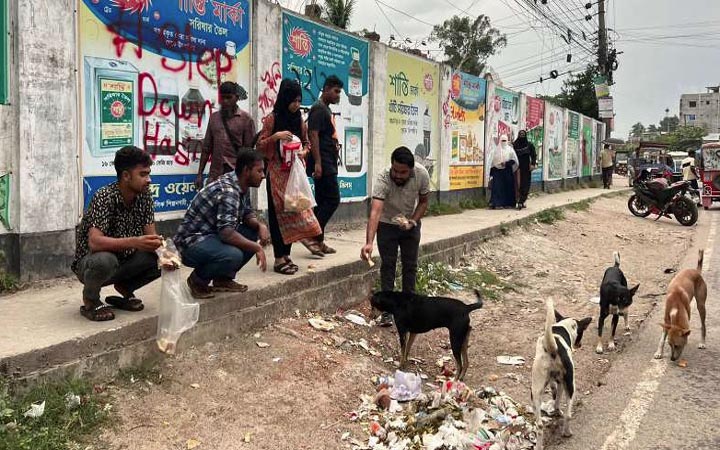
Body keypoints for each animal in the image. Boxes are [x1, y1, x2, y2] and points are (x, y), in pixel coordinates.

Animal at [528, 298, 592, 450]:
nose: (579, 345)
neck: (563, 327)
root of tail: (553, 347)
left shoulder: (555, 381)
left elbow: (554, 393)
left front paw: (555, 410)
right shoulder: (561, 382)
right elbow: (558, 399)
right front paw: (557, 410)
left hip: (535, 390)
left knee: (540, 425)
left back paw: (539, 445)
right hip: (571, 383)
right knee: (568, 414)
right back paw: (567, 432)